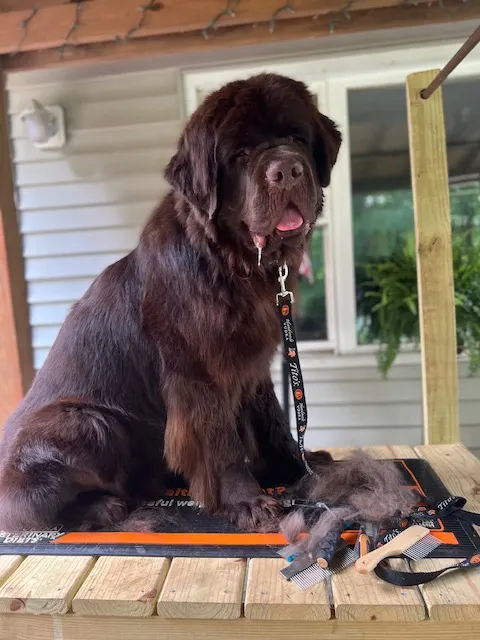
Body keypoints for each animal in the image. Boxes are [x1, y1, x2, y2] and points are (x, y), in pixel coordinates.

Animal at [0, 72, 342, 532]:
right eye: (240, 153)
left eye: (296, 137)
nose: (286, 169)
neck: (229, 264)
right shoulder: (198, 376)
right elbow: (220, 441)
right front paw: (247, 502)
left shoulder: (252, 367)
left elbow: (272, 420)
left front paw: (300, 466)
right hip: (87, 421)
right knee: (31, 508)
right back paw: (100, 507)